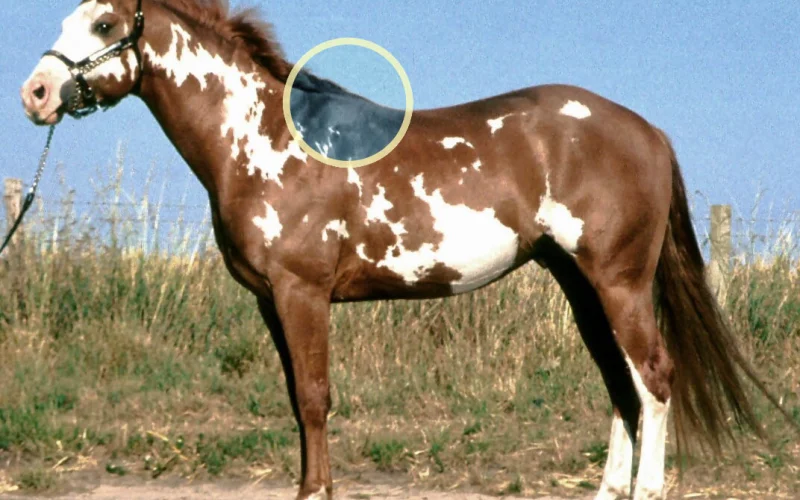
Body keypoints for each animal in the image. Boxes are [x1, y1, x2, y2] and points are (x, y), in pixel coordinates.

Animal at [20, 1, 792, 499]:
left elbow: (314, 399)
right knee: (621, 385)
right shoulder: (272, 302)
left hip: (619, 280)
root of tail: (647, 131)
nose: (36, 93)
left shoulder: (302, 294)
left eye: (104, 24)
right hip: (579, 286)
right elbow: (296, 400)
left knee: (653, 378)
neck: (264, 139)